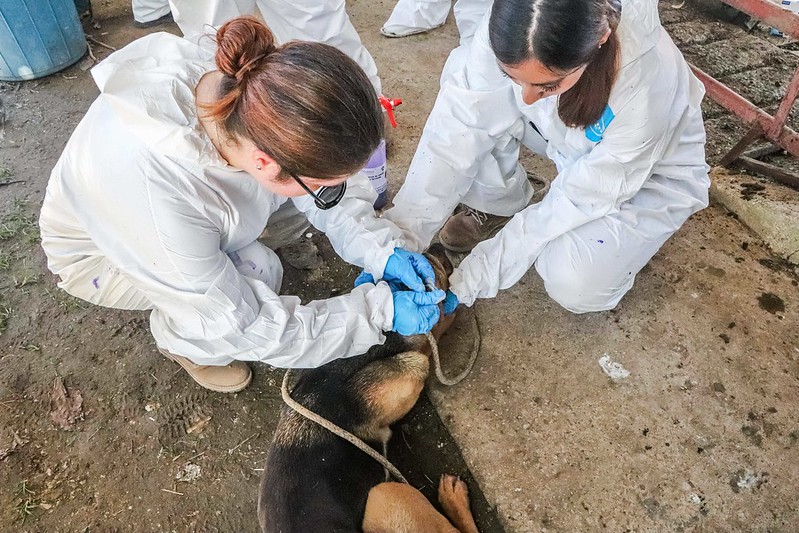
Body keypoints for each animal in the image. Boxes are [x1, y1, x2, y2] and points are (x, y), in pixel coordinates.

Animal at [260, 244, 478, 532]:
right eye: (434, 272)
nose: (437, 246)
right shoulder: (413, 368)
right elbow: (434, 331)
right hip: (387, 493)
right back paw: (454, 497)